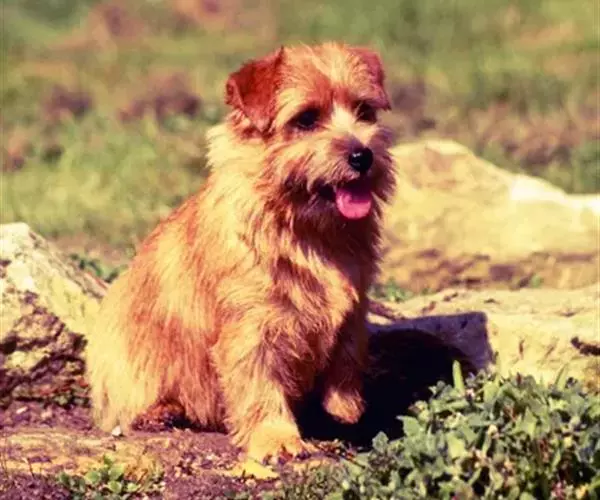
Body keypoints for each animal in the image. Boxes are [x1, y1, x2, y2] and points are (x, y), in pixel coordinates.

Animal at [85, 41, 396, 462]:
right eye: (306, 119)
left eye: (364, 111)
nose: (363, 156)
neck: (307, 230)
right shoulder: (252, 325)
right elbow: (258, 383)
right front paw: (276, 437)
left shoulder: (354, 305)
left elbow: (347, 353)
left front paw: (344, 408)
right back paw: (162, 412)